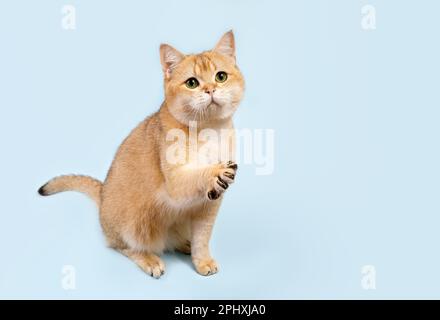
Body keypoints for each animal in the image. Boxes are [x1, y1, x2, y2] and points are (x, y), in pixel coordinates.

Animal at [37, 31, 244, 278]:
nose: (210, 90)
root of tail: (103, 196)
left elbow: (202, 237)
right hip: (135, 222)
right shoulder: (175, 182)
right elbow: (195, 176)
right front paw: (214, 172)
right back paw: (150, 260)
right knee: (123, 246)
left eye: (220, 77)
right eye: (192, 83)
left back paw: (185, 244)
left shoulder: (209, 206)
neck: (209, 130)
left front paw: (202, 261)